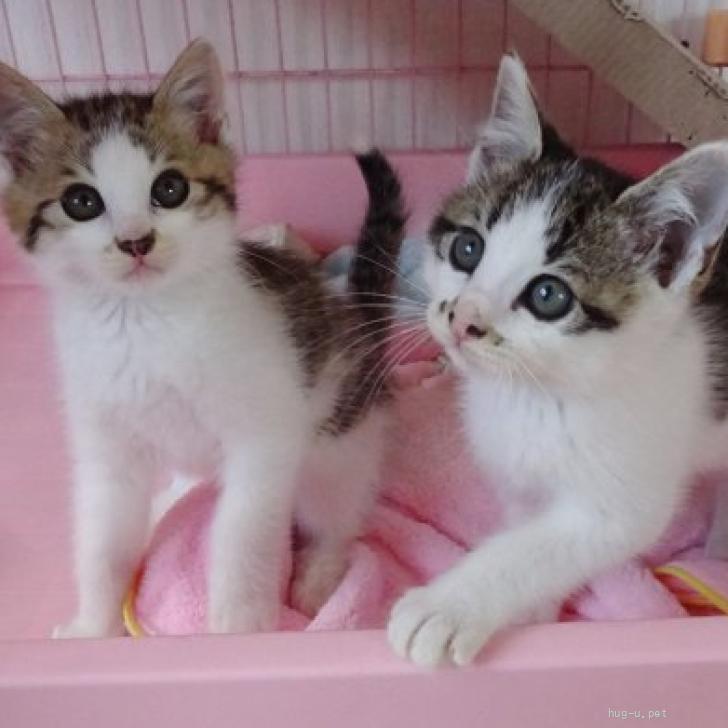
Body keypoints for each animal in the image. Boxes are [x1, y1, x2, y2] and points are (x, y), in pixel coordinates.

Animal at [0, 40, 406, 638]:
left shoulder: (266, 434)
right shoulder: (107, 447)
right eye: (81, 202)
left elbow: (241, 536)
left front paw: (237, 625)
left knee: (337, 512)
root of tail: (357, 318)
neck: (144, 324)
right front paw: (92, 629)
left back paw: (320, 575)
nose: (136, 241)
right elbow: (100, 541)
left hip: (340, 441)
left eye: (169, 189)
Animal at [388, 53, 728, 667]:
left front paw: (448, 607)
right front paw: (533, 614)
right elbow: (526, 528)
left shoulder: (622, 501)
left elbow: (536, 549)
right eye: (467, 248)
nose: (462, 317)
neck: (537, 393)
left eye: (549, 296)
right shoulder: (517, 477)